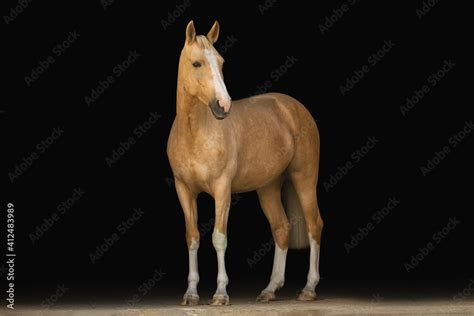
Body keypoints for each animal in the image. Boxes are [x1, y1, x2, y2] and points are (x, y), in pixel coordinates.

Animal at [166, 20, 322, 306]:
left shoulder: (222, 189)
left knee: (314, 225)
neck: (195, 133)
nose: (223, 105)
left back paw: (308, 288)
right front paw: (191, 293)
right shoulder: (184, 189)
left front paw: (220, 293)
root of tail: (294, 107)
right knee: (281, 228)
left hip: (304, 178)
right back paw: (270, 289)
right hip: (268, 187)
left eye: (221, 62)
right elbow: (192, 237)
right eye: (197, 63)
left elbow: (219, 238)